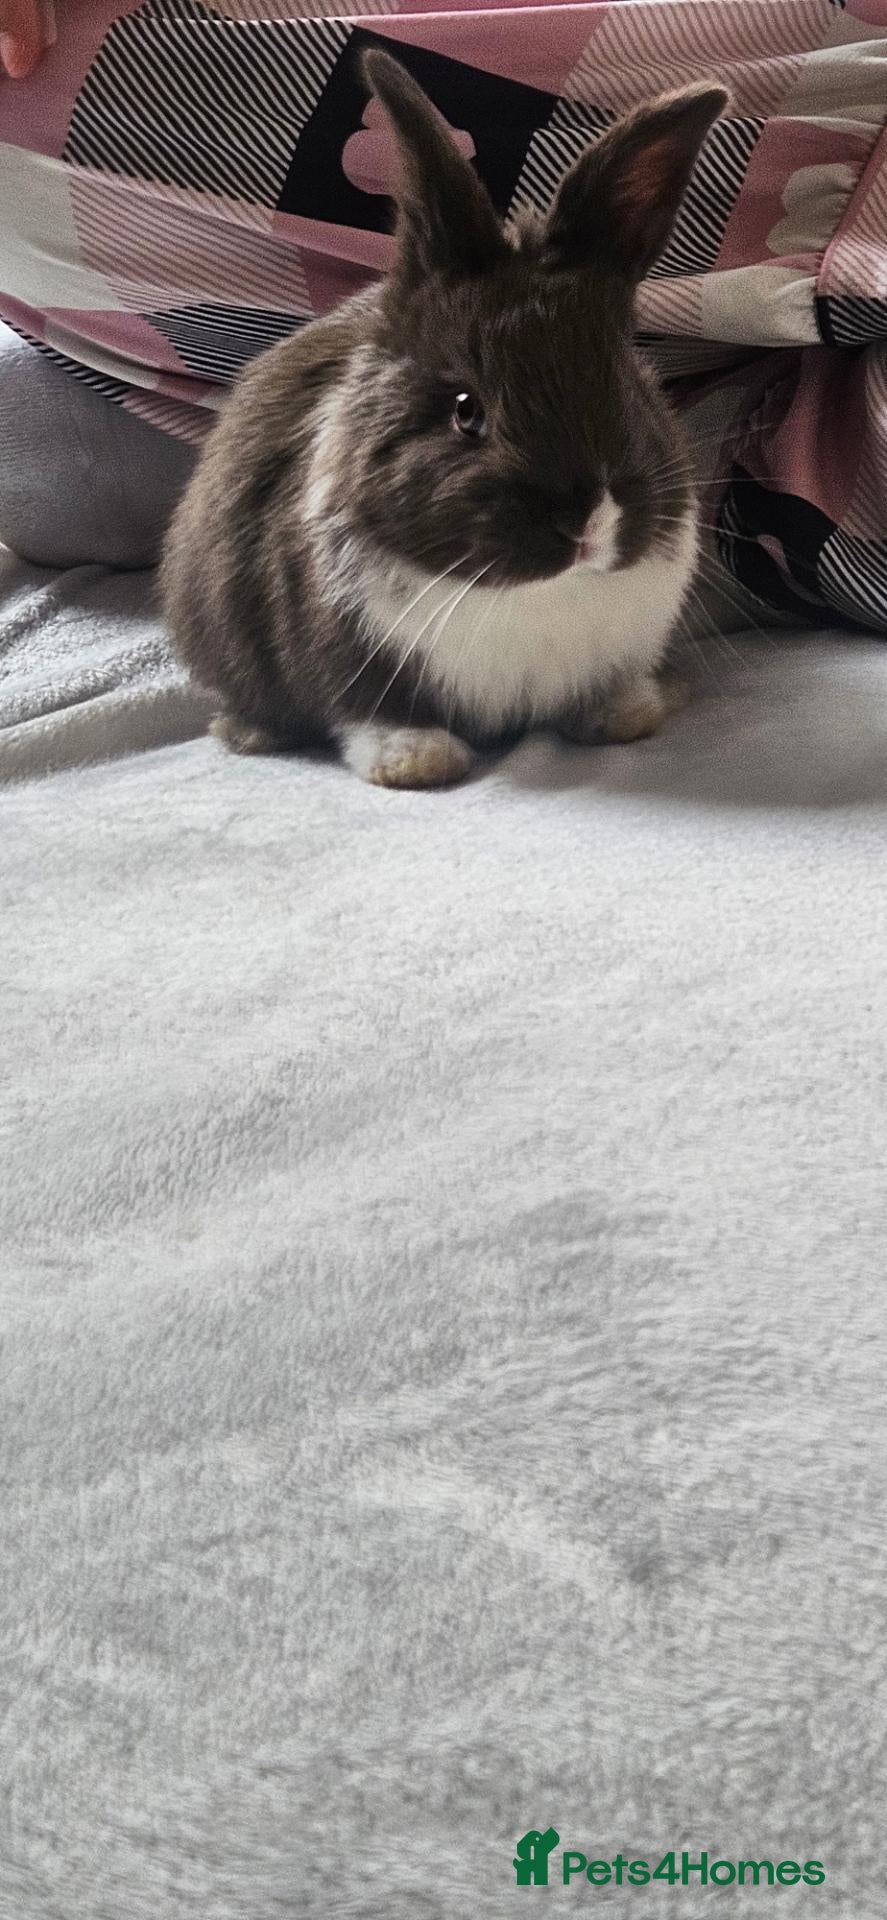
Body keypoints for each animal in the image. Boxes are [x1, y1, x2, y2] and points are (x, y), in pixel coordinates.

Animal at [162, 50, 728, 789]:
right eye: (466, 411)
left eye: (627, 388)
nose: (587, 525)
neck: (539, 592)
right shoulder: (339, 650)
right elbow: (363, 709)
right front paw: (415, 760)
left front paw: (627, 713)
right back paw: (250, 732)